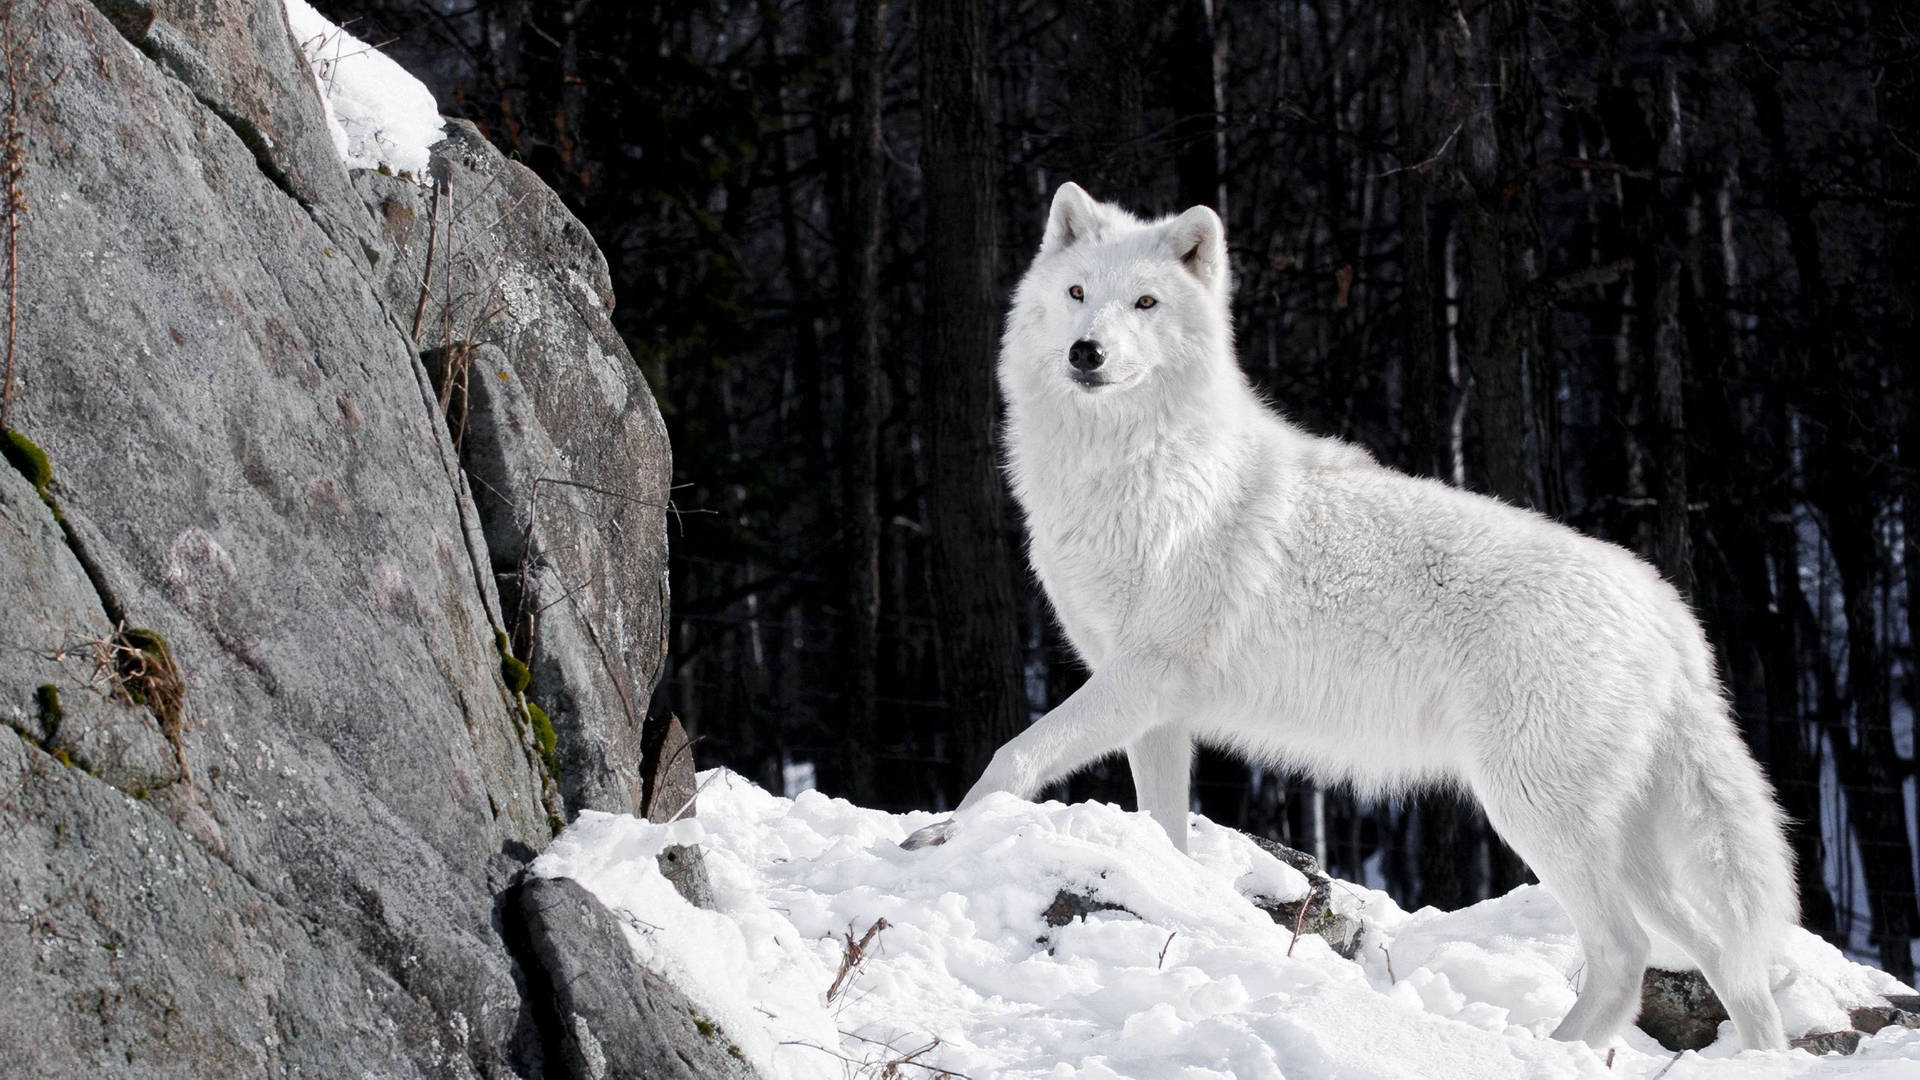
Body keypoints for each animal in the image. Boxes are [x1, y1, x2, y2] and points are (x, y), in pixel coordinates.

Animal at [898, 180, 1797, 1045]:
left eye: (1145, 303)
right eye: (1079, 293)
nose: (1087, 353)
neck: (1134, 470)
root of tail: (1666, 608)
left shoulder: (1141, 677)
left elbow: (1010, 756)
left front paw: (937, 839)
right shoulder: (1157, 712)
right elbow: (1165, 832)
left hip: (1533, 812)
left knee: (1625, 955)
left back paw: (1552, 1051)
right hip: (1624, 846)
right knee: (1727, 959)